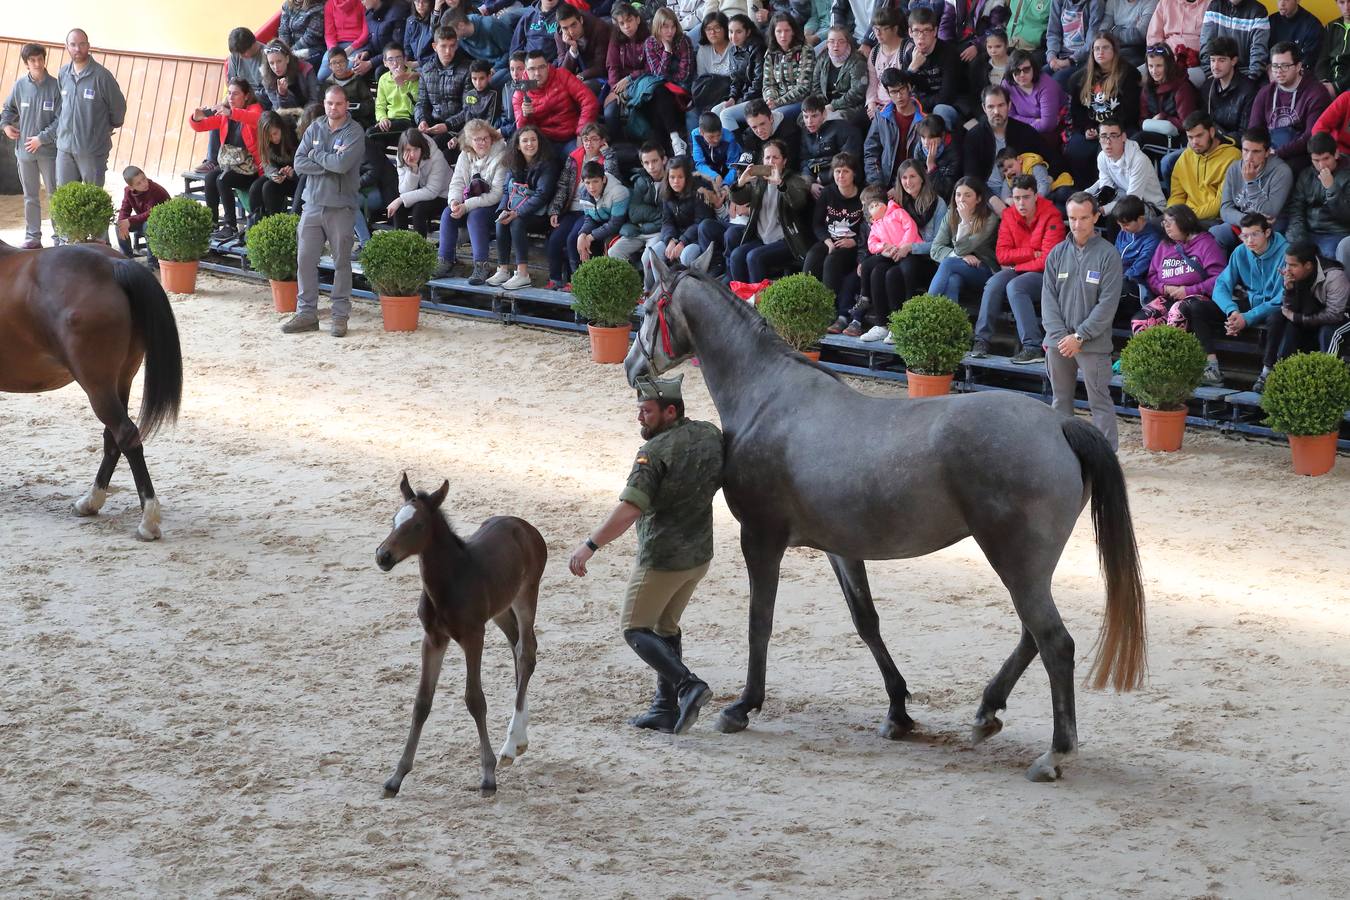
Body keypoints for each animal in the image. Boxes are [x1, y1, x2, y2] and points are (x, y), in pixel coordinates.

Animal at [0, 236, 182, 542]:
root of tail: (112, 265)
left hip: (96, 384)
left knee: (125, 435)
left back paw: (147, 520)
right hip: (120, 380)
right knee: (113, 439)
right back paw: (90, 502)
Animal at [378, 474, 545, 798]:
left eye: (417, 525)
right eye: (394, 519)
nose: (383, 556)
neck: (450, 582)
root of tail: (524, 526)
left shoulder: (473, 636)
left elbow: (475, 699)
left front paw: (488, 777)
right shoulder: (433, 639)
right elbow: (422, 702)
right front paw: (396, 777)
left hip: (526, 595)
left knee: (526, 651)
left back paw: (510, 745)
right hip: (500, 610)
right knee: (518, 647)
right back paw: (519, 738)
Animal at [626, 253, 1144, 782]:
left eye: (645, 309)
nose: (632, 368)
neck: (768, 398)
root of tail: (1059, 424)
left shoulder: (761, 539)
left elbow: (760, 621)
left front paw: (743, 707)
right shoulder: (841, 548)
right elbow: (867, 621)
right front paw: (898, 712)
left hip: (1015, 561)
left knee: (1055, 644)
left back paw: (1054, 753)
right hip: (1031, 568)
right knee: (1031, 636)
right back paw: (986, 713)